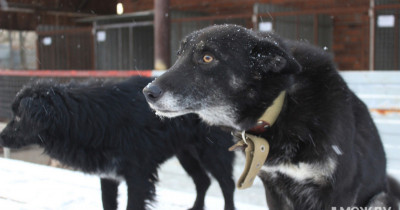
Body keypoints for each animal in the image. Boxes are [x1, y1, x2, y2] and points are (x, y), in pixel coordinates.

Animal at [0, 76, 236, 210]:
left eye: (19, 117)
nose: (0, 137)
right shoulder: (108, 175)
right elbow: (108, 204)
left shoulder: (138, 177)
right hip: (186, 153)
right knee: (203, 181)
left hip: (213, 152)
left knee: (227, 185)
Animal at [144, 25, 400, 210]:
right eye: (179, 56)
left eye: (207, 58)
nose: (148, 92)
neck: (283, 104)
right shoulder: (274, 189)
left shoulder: (339, 191)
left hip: (381, 199)